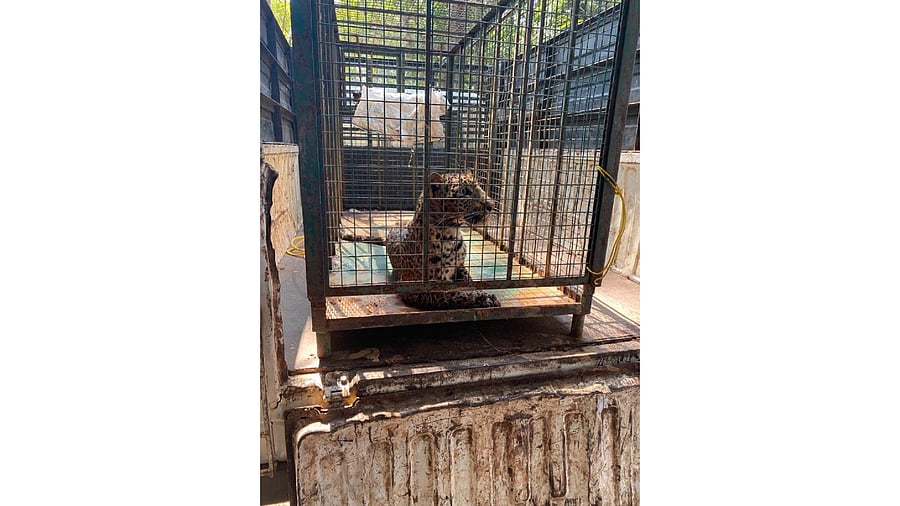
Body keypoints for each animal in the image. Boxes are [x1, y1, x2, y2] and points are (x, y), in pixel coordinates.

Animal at [386, 171, 501, 310]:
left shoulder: (460, 266)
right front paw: (484, 298)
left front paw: (480, 291)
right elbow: (455, 295)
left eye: (479, 186)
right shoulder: (420, 289)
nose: (492, 205)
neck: (452, 235)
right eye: (464, 191)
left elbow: (468, 281)